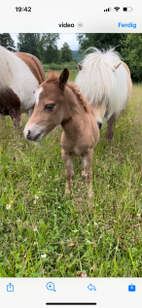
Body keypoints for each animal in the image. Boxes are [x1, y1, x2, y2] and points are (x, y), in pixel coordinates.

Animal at [23, 68, 99, 197]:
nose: (28, 133)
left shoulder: (88, 153)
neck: (76, 133)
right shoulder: (66, 152)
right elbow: (69, 174)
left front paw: (90, 196)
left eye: (49, 105)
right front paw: (67, 194)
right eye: (35, 104)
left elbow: (87, 175)